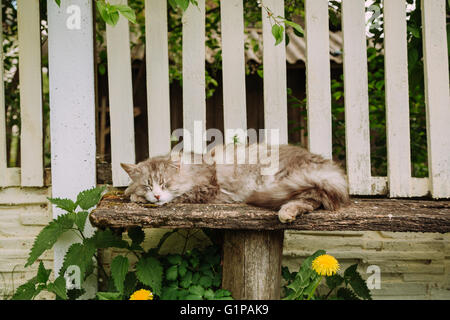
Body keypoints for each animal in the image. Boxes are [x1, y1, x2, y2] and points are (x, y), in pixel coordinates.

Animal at [119, 144, 348, 222]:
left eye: (165, 184)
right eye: (148, 185)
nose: (156, 194)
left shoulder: (206, 188)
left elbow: (180, 197)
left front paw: (136, 197)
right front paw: (134, 193)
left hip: (289, 179)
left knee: (311, 199)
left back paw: (286, 213)